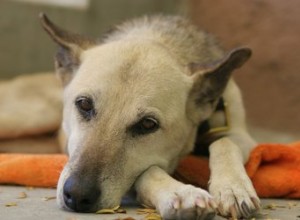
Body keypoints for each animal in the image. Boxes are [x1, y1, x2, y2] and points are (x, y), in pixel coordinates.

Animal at [39, 12, 260, 219]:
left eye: (147, 124)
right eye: (84, 104)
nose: (76, 195)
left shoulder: (241, 135)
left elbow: (224, 143)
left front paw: (232, 188)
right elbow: (147, 171)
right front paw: (180, 193)